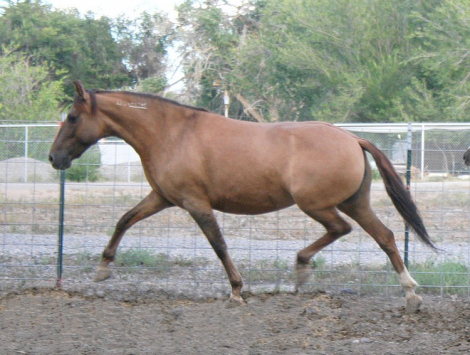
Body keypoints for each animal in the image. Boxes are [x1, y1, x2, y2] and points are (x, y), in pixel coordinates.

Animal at [49, 81, 436, 314]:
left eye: (72, 117)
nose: (54, 158)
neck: (171, 133)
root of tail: (353, 138)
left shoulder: (195, 203)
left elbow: (218, 244)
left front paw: (236, 290)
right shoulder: (162, 197)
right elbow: (124, 219)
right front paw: (102, 269)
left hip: (317, 204)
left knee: (343, 230)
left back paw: (302, 268)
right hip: (354, 202)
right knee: (385, 236)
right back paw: (410, 293)